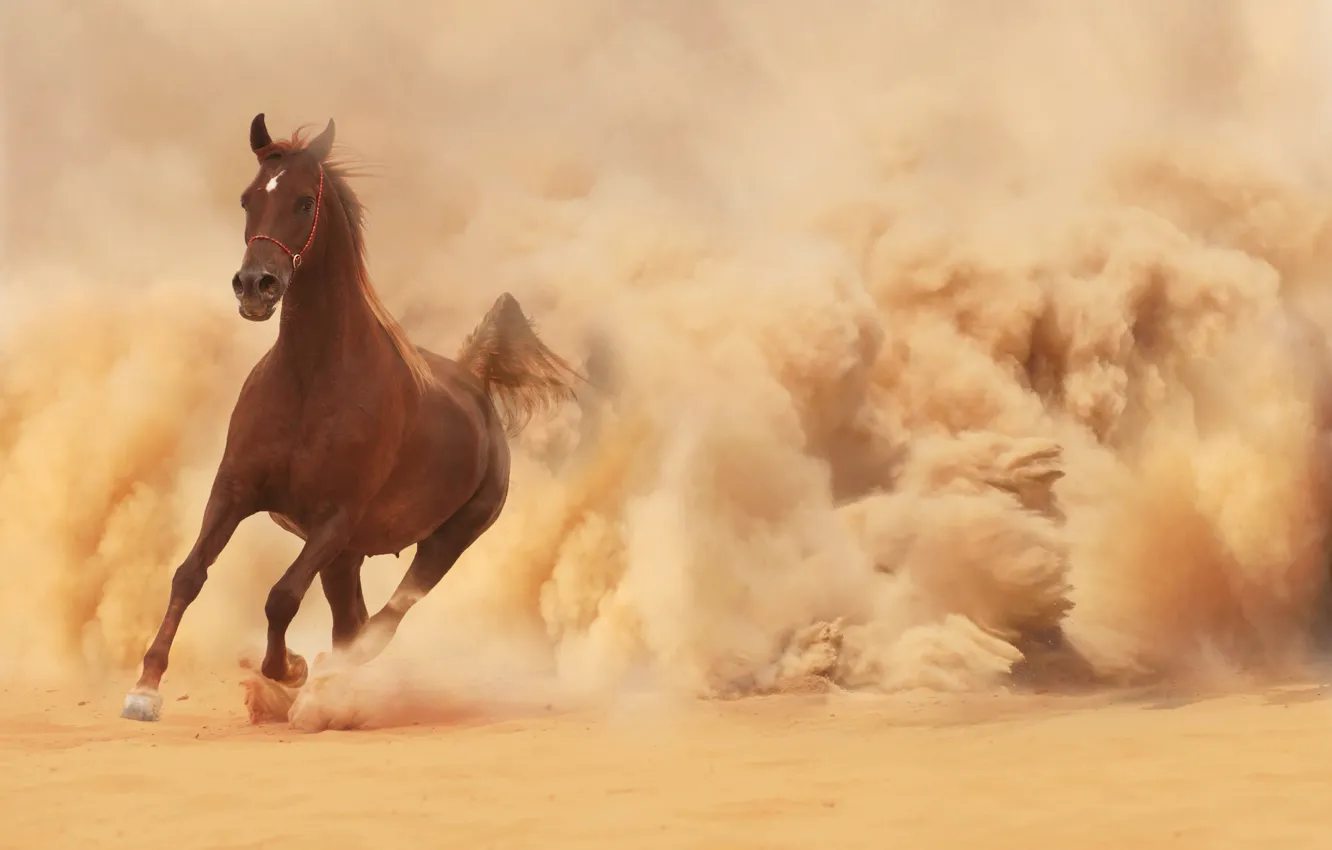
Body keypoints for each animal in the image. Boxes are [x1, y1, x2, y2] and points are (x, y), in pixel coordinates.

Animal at [121, 113, 581, 722]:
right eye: (248, 198)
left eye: (303, 202)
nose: (255, 286)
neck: (311, 381)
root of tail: (475, 383)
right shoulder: (235, 490)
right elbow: (189, 574)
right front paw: (145, 688)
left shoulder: (334, 518)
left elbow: (281, 596)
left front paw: (291, 670)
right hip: (348, 558)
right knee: (353, 621)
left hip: (445, 540)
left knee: (381, 624)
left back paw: (326, 688)